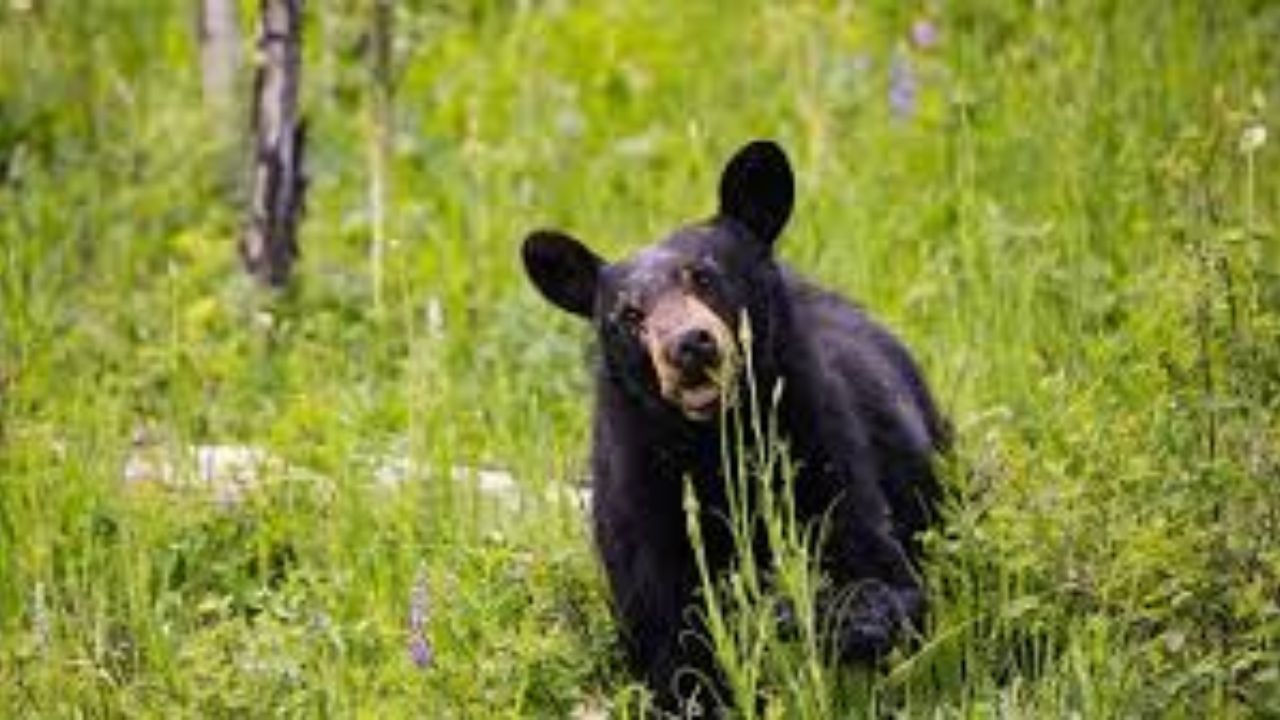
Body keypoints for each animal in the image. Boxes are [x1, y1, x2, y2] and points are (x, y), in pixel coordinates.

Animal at [521, 140, 947, 713]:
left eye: (704, 275)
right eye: (629, 314)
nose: (689, 346)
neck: (718, 440)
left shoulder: (822, 445)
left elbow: (878, 570)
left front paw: (812, 614)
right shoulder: (640, 499)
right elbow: (670, 642)